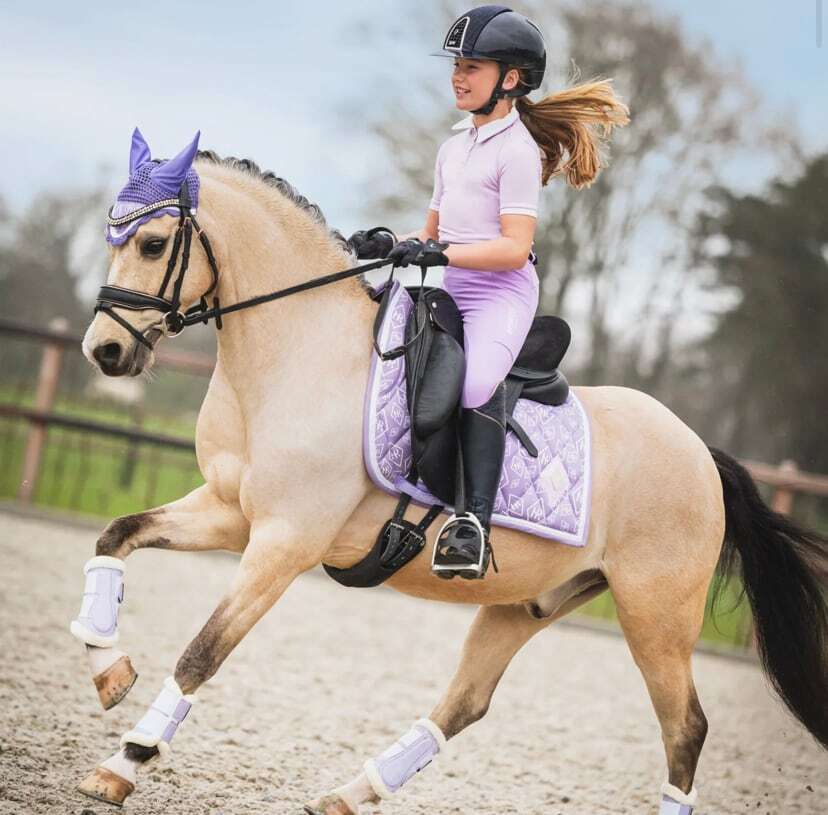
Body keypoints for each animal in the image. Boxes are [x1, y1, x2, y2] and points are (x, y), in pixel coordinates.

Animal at [74, 143, 827, 814]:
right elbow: (116, 535)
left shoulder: (284, 543)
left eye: (152, 244)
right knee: (467, 701)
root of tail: (700, 451)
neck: (300, 353)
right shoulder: (228, 512)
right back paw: (349, 794)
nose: (104, 352)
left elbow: (202, 652)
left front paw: (124, 761)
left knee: (686, 728)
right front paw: (109, 672)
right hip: (525, 601)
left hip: (657, 618)